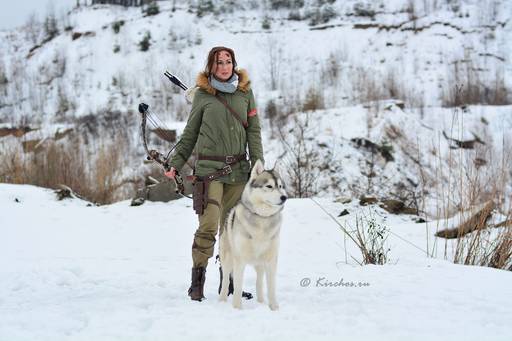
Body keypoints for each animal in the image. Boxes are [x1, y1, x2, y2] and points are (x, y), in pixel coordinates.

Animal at [218, 159, 286, 308]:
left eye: (280, 186)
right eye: (269, 186)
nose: (284, 197)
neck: (262, 219)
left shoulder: (271, 260)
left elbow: (271, 287)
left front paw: (274, 308)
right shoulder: (240, 260)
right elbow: (237, 287)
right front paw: (237, 308)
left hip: (260, 263)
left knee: (259, 281)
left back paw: (261, 302)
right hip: (228, 259)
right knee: (225, 280)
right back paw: (222, 301)